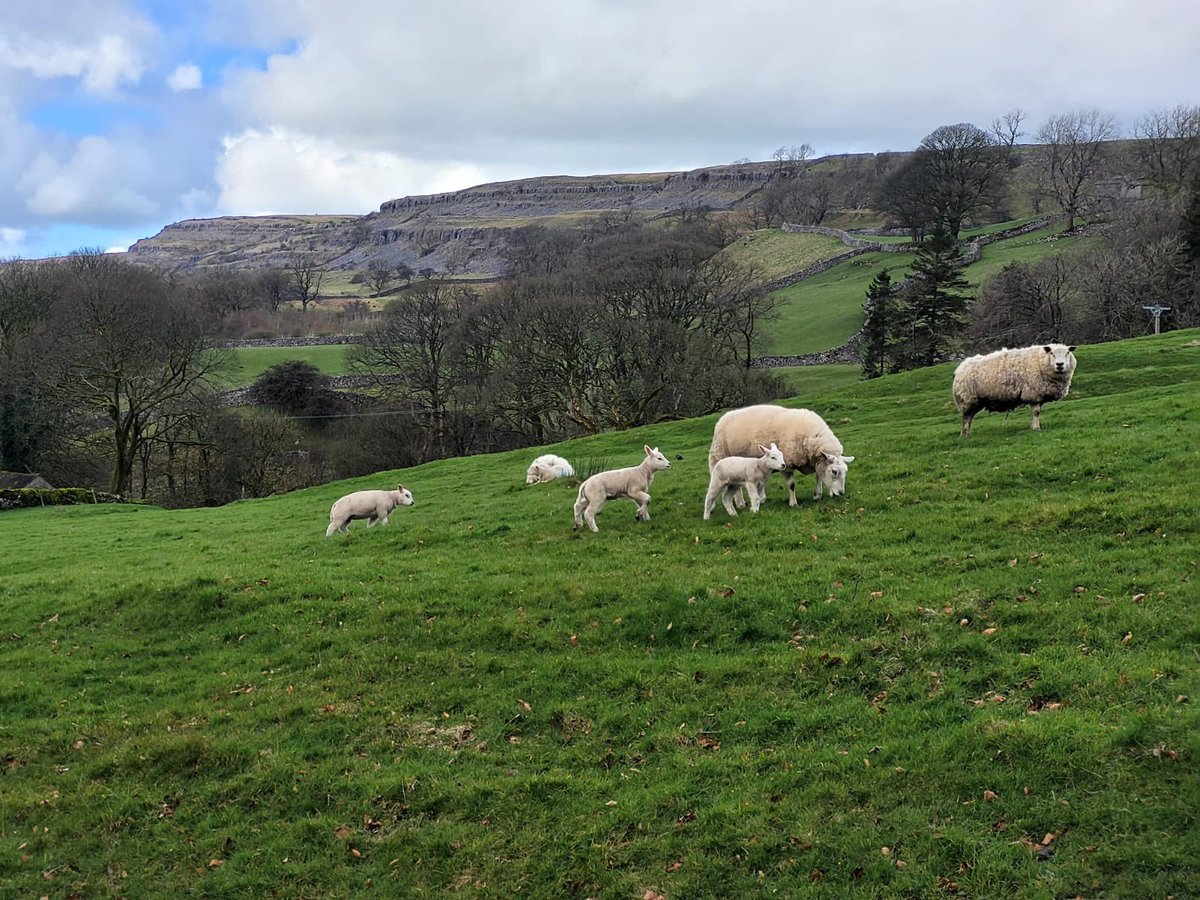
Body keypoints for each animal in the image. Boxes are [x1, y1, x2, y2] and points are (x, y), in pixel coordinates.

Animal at [710, 403, 854, 504]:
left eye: (846, 471)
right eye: (834, 471)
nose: (841, 493)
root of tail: (722, 419)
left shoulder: (816, 462)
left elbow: (819, 477)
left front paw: (817, 495)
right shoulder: (787, 464)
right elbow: (791, 485)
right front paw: (793, 503)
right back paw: (740, 503)